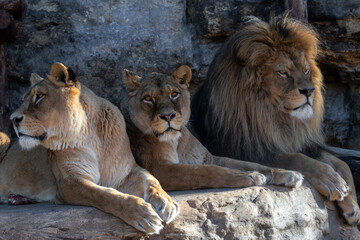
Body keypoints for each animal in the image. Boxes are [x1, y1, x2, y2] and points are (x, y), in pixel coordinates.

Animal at [1, 62, 179, 234]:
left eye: (39, 97)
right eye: (24, 99)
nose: (13, 119)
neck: (91, 136)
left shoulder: (127, 172)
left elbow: (151, 180)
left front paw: (166, 202)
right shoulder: (70, 182)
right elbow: (105, 195)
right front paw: (142, 214)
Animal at [119, 64, 304, 191]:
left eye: (174, 94)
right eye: (148, 99)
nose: (168, 116)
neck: (175, 143)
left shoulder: (207, 158)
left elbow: (248, 163)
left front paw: (288, 173)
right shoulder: (159, 170)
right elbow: (207, 172)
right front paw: (249, 176)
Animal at [190, 15, 358, 225]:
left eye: (305, 70)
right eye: (283, 73)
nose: (309, 91)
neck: (275, 118)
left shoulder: (301, 142)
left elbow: (342, 163)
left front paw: (352, 207)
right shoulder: (249, 150)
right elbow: (296, 158)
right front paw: (332, 181)